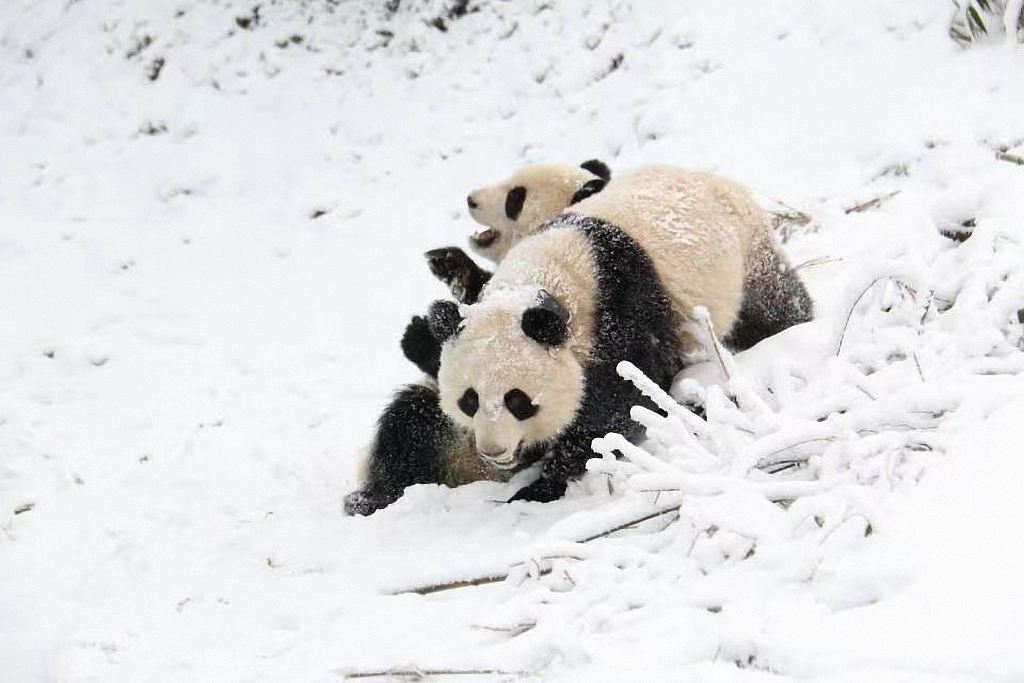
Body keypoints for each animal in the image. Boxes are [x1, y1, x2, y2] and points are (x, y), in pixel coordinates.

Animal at [344, 160, 815, 511]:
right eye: (469, 400)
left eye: (518, 400)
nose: (494, 451)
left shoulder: (623, 310)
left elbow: (619, 403)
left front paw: (541, 486)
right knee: (409, 426)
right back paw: (369, 499)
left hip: (748, 255)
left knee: (773, 306)